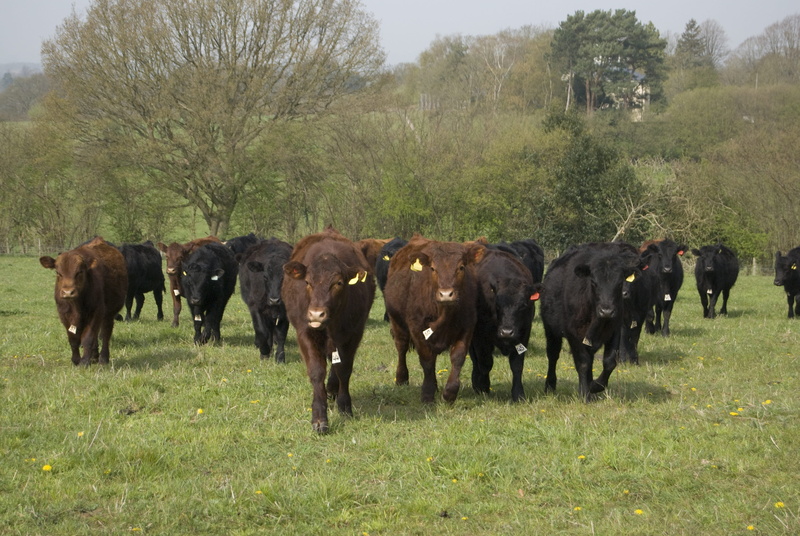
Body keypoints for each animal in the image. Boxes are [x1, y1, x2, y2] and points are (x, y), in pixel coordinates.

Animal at [39, 236, 128, 366]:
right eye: (58, 272)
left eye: (79, 272)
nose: (68, 292)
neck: (76, 305)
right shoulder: (64, 315)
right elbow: (73, 339)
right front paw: (76, 359)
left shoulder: (96, 312)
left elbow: (88, 338)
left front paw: (84, 361)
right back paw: (94, 357)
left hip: (109, 313)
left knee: (106, 333)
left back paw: (103, 358)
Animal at [281, 227, 375, 433]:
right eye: (307, 282)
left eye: (338, 283)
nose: (316, 314)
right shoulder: (305, 333)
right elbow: (317, 372)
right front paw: (319, 418)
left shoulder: (353, 334)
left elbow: (344, 369)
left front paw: (345, 406)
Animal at [384, 235, 485, 404]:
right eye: (432, 268)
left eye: (461, 267)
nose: (446, 294)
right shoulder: (416, 328)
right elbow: (426, 360)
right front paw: (427, 393)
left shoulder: (467, 326)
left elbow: (458, 358)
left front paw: (449, 393)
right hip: (396, 321)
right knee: (401, 347)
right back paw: (401, 378)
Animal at [470, 248, 538, 402]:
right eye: (498, 305)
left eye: (523, 306)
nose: (507, 332)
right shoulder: (480, 337)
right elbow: (485, 363)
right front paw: (483, 387)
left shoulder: (524, 333)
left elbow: (517, 365)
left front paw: (518, 394)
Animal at [540, 242, 641, 401]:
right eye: (593, 282)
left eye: (620, 283)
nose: (606, 311)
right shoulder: (574, 334)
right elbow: (583, 363)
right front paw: (585, 394)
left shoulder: (614, 330)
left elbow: (610, 362)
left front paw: (594, 386)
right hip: (550, 330)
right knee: (553, 355)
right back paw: (550, 385)